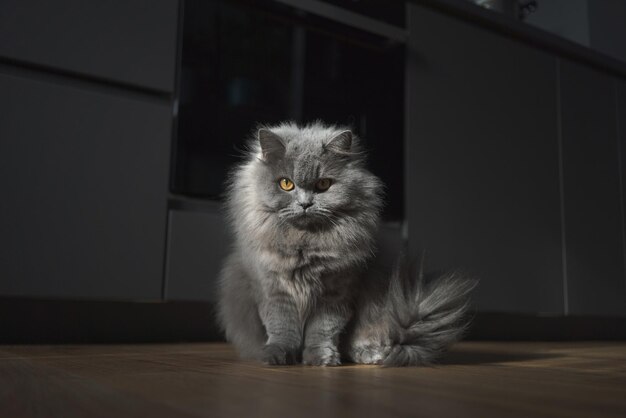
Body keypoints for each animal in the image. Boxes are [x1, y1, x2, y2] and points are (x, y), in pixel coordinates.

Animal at [214, 121, 472, 366]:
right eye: (286, 184)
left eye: (323, 185)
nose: (305, 204)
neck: (306, 244)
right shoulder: (274, 289)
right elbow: (282, 329)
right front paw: (277, 356)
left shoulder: (336, 290)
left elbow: (322, 330)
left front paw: (320, 359)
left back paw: (369, 356)